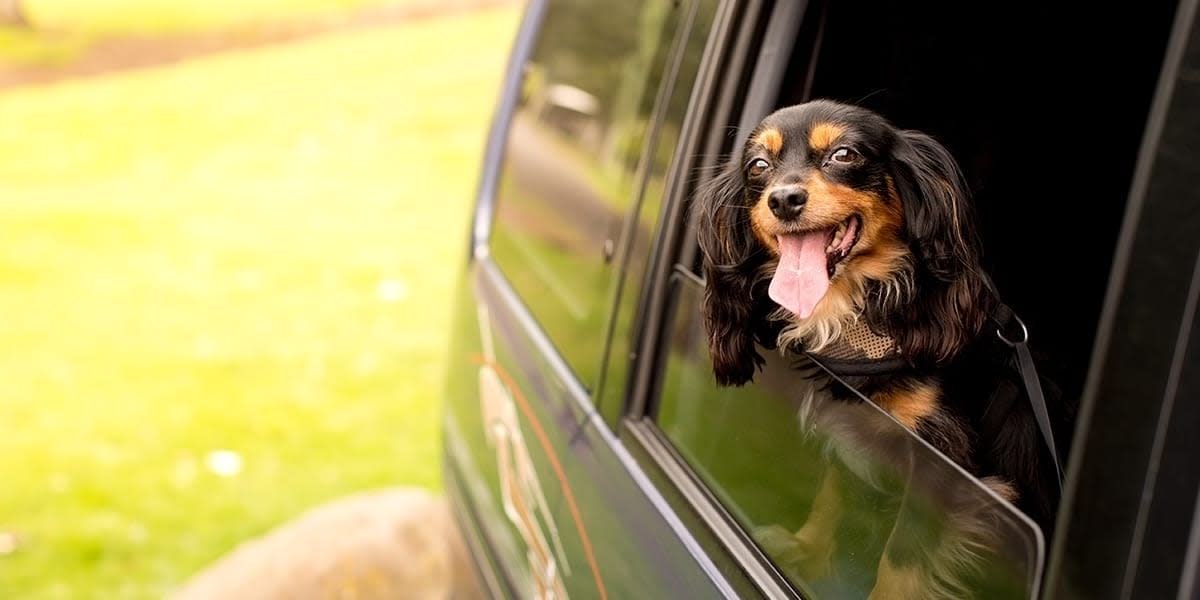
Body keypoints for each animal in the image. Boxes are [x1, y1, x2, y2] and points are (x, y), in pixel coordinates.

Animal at [700, 100, 1065, 597]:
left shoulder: (940, 464)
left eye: (844, 154)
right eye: (758, 165)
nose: (783, 199)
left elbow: (903, 555)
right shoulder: (849, 421)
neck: (855, 315)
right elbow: (832, 493)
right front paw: (809, 549)